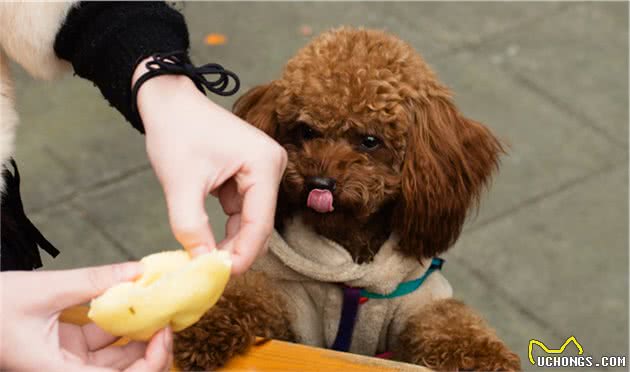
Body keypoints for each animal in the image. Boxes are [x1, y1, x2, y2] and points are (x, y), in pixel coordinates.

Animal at [174, 27, 524, 370]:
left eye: (370, 141)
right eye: (306, 131)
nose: (319, 183)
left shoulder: (417, 300)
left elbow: (448, 319)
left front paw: (482, 358)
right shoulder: (292, 303)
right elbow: (249, 294)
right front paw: (203, 325)